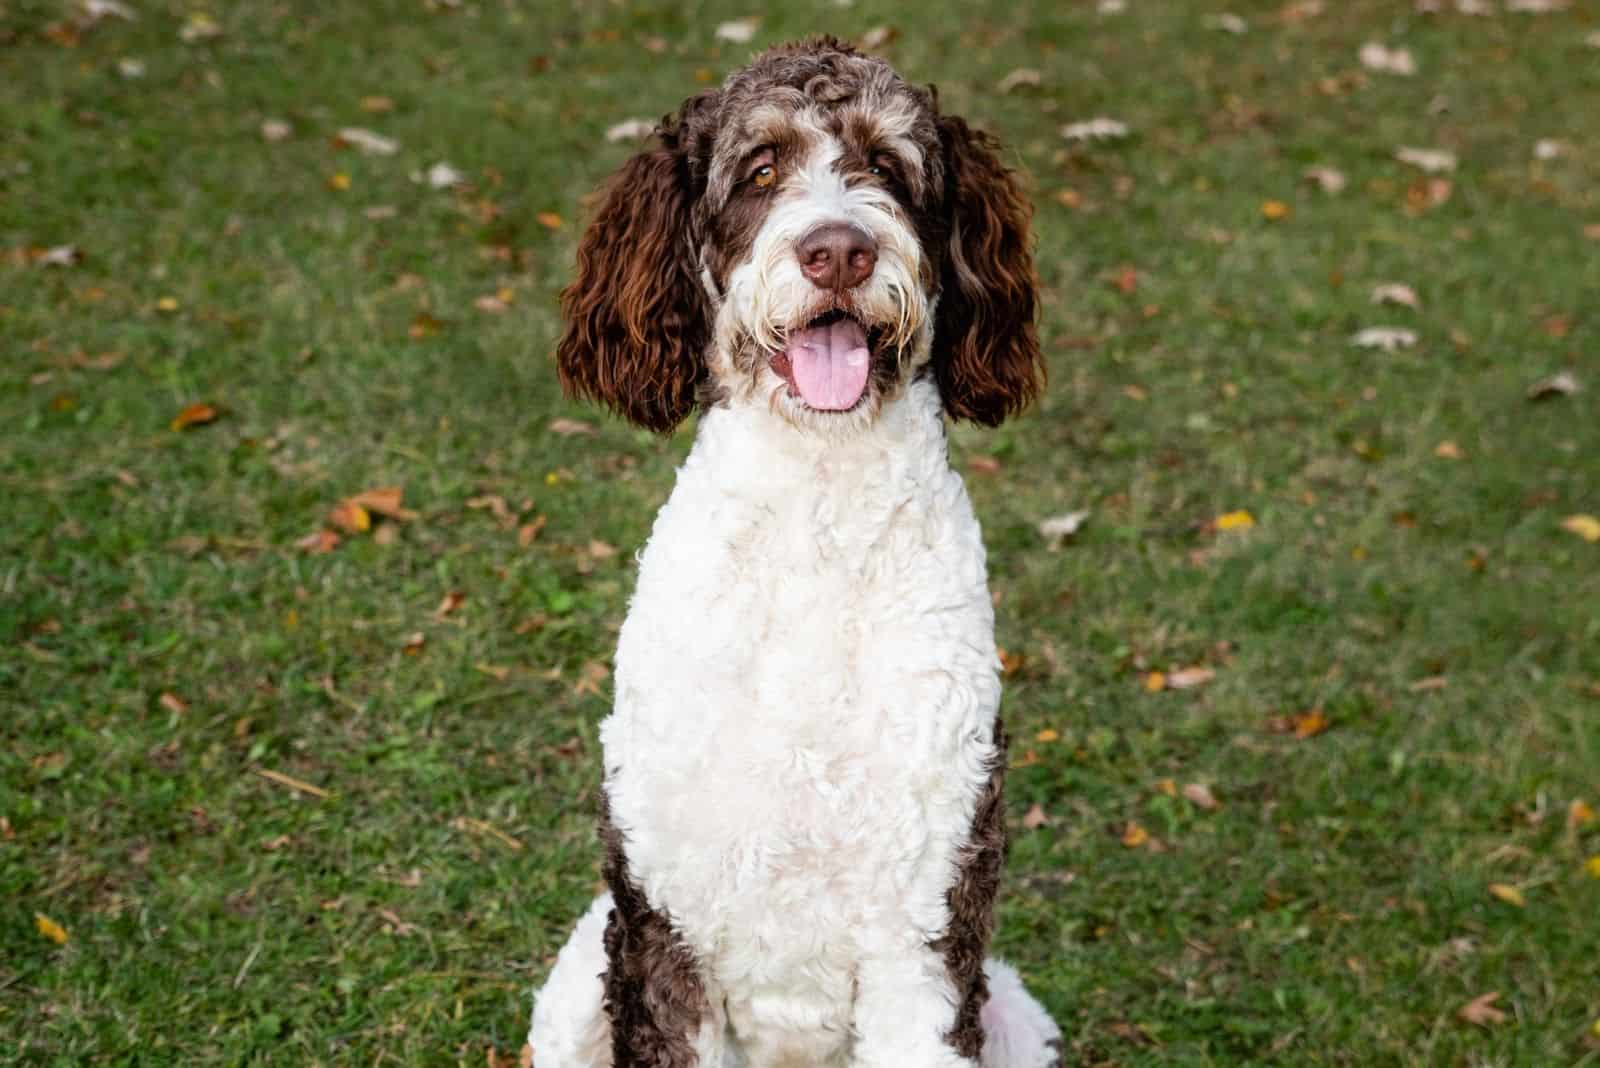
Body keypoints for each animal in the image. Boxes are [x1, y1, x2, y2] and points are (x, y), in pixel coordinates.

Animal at [524, 37, 1068, 1068]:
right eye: (762, 170)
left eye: (888, 168)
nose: (840, 249)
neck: (817, 523)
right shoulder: (663, 921)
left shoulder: (926, 925)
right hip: (575, 991)